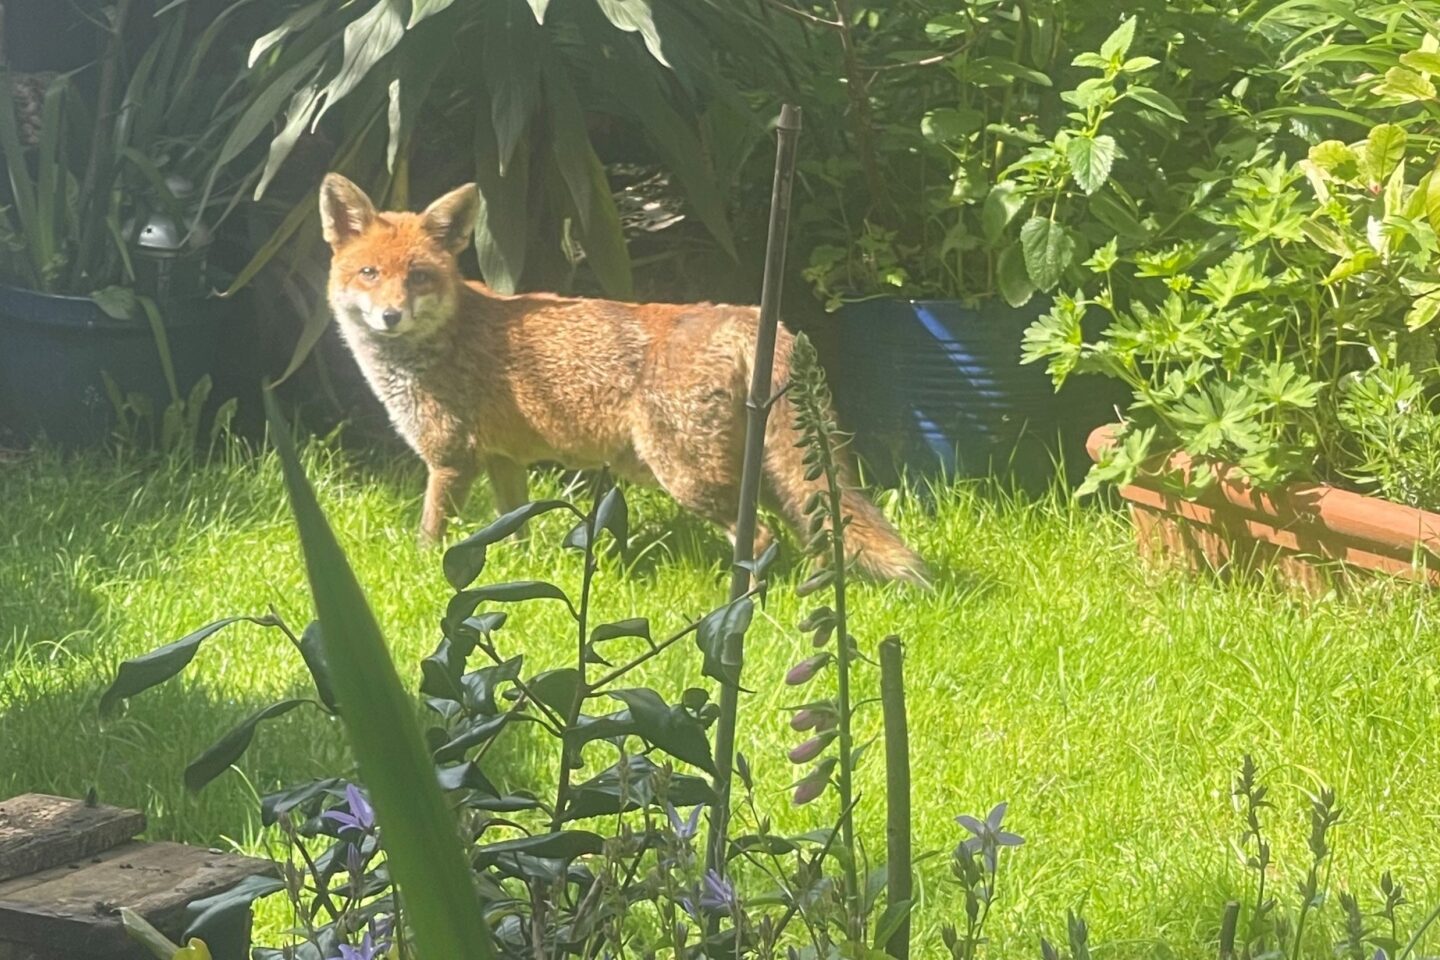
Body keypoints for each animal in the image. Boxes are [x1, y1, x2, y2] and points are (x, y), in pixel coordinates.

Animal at [318, 173, 929, 585]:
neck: (442, 340)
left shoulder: (450, 457)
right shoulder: (503, 460)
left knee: (761, 536)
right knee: (816, 531)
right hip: (758, 473)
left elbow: (431, 531)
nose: (390, 316)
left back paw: (741, 609)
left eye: (418, 276)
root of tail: (750, 315)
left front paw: (426, 571)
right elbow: (514, 527)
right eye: (369, 273)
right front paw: (518, 573)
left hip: (687, 476)